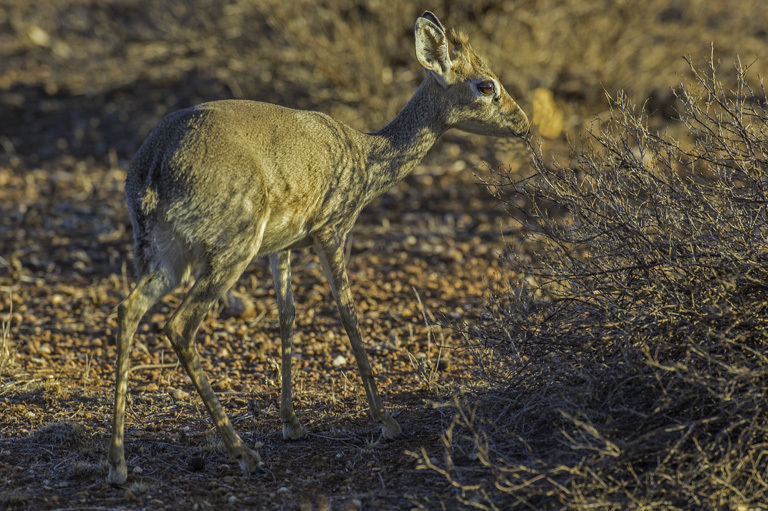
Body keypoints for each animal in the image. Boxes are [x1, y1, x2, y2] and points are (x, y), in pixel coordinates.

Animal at [106, 11, 528, 484]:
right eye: (486, 84)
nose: (524, 123)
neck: (365, 157)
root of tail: (153, 168)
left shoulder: (282, 247)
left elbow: (287, 316)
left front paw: (291, 423)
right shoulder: (333, 231)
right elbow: (347, 312)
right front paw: (385, 420)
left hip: (165, 258)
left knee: (128, 311)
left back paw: (118, 464)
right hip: (230, 251)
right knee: (179, 326)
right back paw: (243, 452)